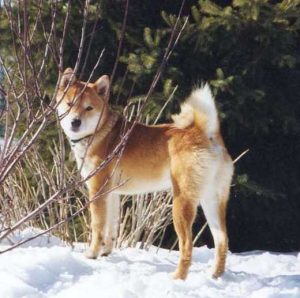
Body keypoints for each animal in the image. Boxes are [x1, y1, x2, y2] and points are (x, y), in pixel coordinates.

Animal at [56, 67, 234, 280]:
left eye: (89, 108)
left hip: (182, 203)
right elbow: (111, 227)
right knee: (222, 240)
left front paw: (92, 254)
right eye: (70, 103)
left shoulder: (97, 190)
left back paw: (178, 277)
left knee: (187, 245)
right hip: (212, 201)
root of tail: (205, 134)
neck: (101, 133)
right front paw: (106, 252)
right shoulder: (111, 193)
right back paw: (216, 275)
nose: (75, 122)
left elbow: (98, 226)